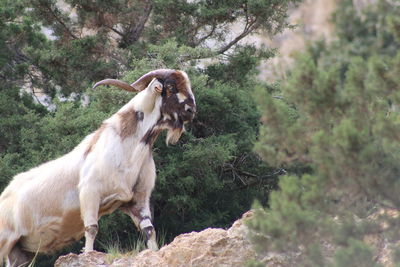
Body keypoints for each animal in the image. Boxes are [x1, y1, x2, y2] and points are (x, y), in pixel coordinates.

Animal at [0, 69, 195, 267]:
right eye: (170, 86)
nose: (191, 110)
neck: (127, 149)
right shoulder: (90, 192)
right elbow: (91, 228)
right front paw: (88, 255)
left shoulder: (137, 199)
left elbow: (148, 229)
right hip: (5, 242)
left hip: (20, 252)